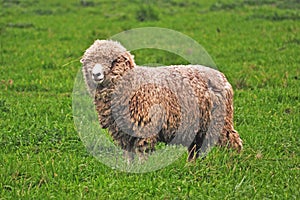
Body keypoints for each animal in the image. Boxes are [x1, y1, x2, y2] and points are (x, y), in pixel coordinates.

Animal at [79, 39, 241, 162]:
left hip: (219, 121)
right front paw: (129, 171)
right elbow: (128, 155)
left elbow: (142, 153)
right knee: (195, 148)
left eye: (112, 61)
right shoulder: (123, 132)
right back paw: (191, 167)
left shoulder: (145, 127)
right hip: (198, 125)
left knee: (233, 141)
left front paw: (142, 171)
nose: (96, 74)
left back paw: (234, 161)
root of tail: (222, 77)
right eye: (90, 61)